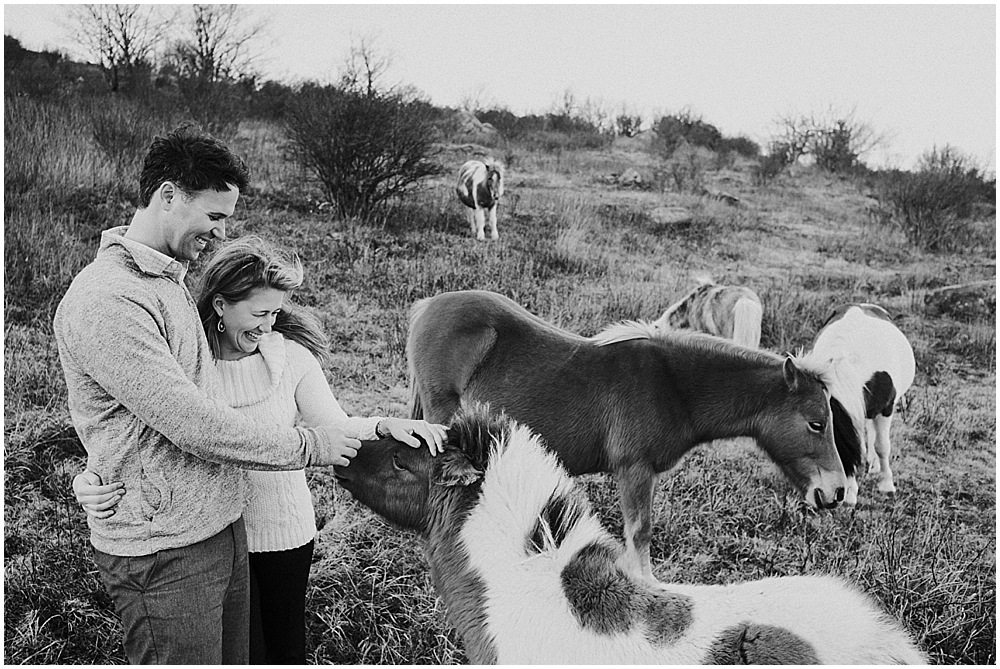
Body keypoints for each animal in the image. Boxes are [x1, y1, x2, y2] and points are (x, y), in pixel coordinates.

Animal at [406, 290, 868, 580]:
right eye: (817, 422)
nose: (836, 492)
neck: (671, 384)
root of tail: (428, 306)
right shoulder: (634, 470)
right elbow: (639, 533)